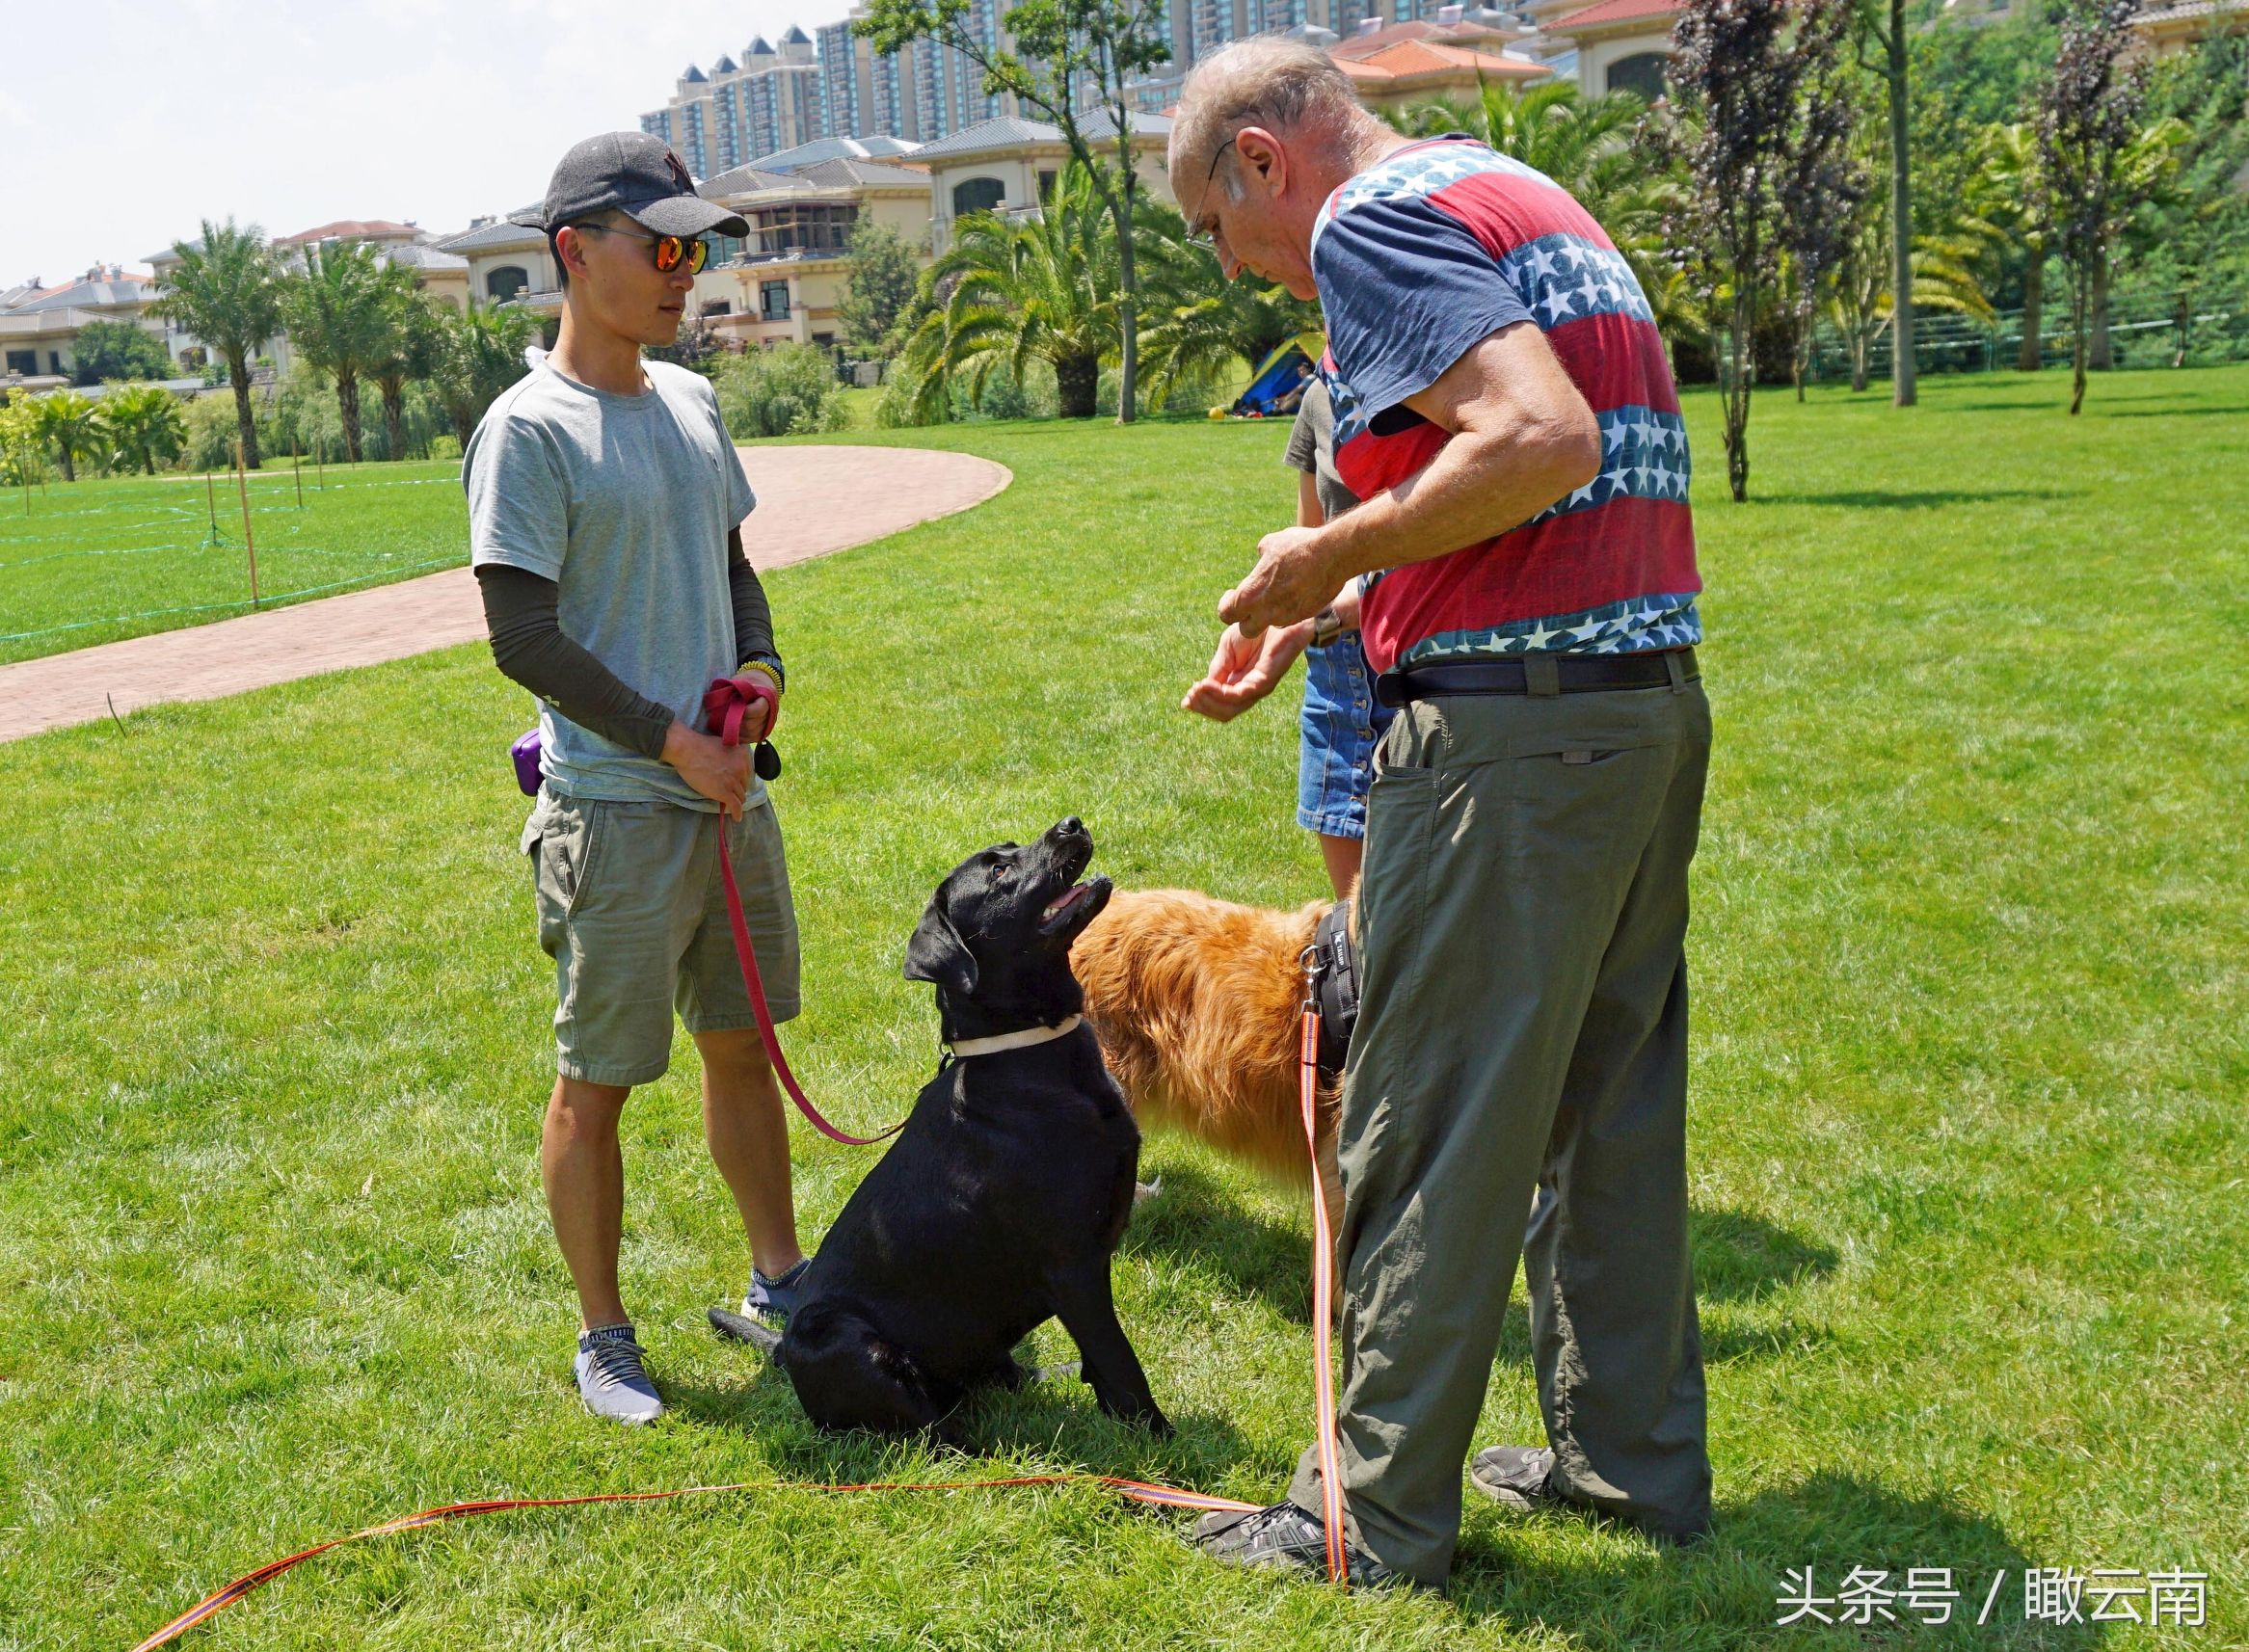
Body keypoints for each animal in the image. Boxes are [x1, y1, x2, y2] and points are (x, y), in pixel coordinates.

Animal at [714, 822, 1178, 1438]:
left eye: (1012, 849)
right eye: (999, 872)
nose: (1071, 825)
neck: (1028, 1050)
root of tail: (782, 1352)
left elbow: (1103, 1368)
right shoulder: (1074, 1264)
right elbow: (1119, 1362)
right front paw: (1160, 1445)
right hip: (844, 1339)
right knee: (931, 1432)